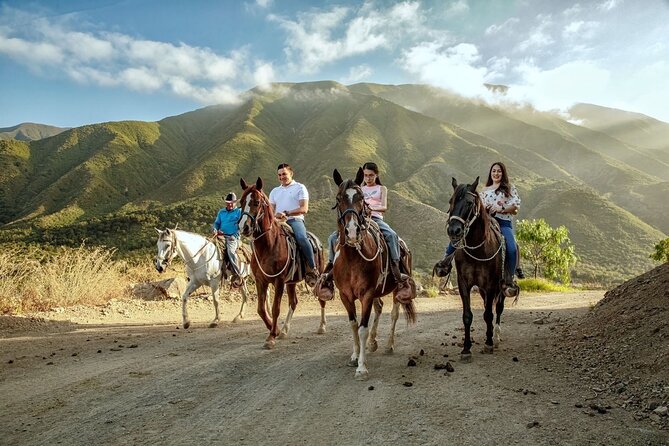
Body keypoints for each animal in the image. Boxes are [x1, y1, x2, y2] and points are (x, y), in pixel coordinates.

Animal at [238, 177, 327, 349]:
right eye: (241, 202)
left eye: (256, 202)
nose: (244, 227)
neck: (269, 245)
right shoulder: (261, 280)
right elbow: (261, 309)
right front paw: (276, 330)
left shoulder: (278, 281)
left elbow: (275, 308)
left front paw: (271, 337)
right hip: (291, 282)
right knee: (294, 302)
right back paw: (285, 330)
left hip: (317, 276)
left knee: (321, 299)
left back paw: (322, 326)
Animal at [332, 168, 417, 380]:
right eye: (339, 198)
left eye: (361, 198)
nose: (352, 231)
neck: (352, 258)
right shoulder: (345, 295)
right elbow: (353, 325)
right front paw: (355, 356)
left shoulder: (367, 294)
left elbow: (362, 327)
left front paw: (362, 368)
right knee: (379, 308)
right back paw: (372, 343)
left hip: (396, 289)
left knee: (394, 313)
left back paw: (388, 345)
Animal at [446, 177, 513, 361]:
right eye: (451, 201)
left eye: (469, 203)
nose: (453, 230)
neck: (478, 249)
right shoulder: (464, 284)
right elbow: (468, 316)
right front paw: (466, 349)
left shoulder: (491, 284)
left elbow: (489, 314)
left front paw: (489, 343)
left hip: (500, 287)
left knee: (498, 308)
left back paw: (495, 337)